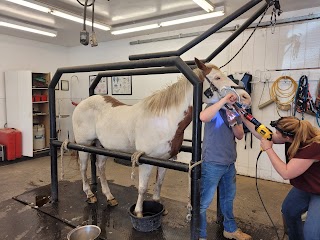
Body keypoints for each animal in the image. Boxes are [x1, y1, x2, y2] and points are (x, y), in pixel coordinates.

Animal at [71, 58, 251, 218]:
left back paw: (109, 197)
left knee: (101, 169)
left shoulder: (166, 159)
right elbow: (142, 187)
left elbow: (159, 184)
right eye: (217, 77)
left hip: (101, 146)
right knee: (83, 168)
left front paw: (159, 207)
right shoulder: (145, 161)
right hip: (83, 145)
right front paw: (139, 212)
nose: (245, 97)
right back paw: (90, 195)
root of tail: (81, 103)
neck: (165, 120)